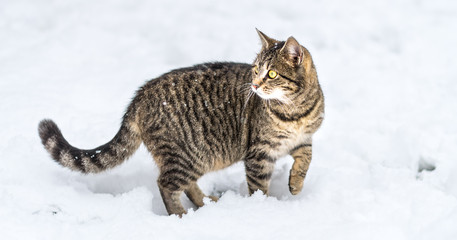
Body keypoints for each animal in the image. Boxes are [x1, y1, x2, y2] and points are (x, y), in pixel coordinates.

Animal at [38, 30, 324, 216]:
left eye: (272, 73)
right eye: (255, 70)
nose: (254, 85)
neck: (295, 111)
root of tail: (139, 96)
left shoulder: (304, 140)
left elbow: (306, 160)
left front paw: (295, 185)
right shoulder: (259, 153)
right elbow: (258, 187)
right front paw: (262, 209)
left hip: (194, 157)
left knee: (186, 186)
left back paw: (207, 203)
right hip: (188, 155)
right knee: (167, 184)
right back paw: (181, 215)